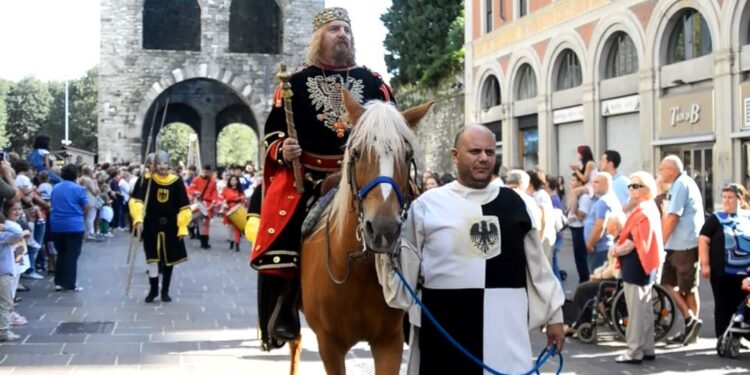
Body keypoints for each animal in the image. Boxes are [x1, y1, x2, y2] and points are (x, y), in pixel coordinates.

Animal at [292, 92, 434, 375]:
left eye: (406, 155)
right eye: (356, 153)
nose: (383, 230)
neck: (356, 269)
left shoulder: (389, 342)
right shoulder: (329, 345)